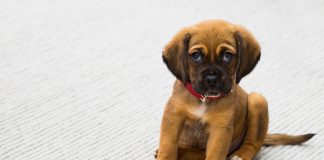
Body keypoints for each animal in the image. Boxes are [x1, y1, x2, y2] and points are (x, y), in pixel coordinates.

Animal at [156, 20, 316, 160]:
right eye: (196, 56)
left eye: (227, 56)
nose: (212, 79)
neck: (204, 99)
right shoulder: (173, 116)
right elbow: (168, 146)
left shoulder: (220, 130)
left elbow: (215, 155)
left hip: (257, 100)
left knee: (253, 143)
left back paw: (240, 155)